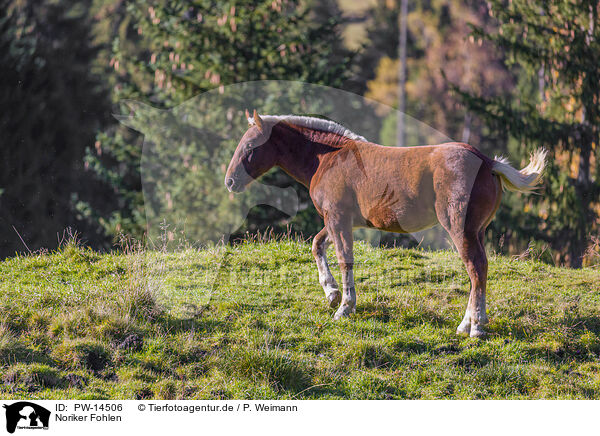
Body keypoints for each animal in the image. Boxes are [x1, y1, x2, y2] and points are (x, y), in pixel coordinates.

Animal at [225, 109, 544, 338]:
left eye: (250, 145)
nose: (230, 181)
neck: (328, 158)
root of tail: (487, 161)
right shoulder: (338, 220)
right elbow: (317, 245)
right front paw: (331, 294)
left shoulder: (338, 219)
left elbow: (345, 260)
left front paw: (344, 307)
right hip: (476, 231)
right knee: (478, 270)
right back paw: (466, 324)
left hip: (460, 229)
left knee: (476, 269)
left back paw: (476, 327)